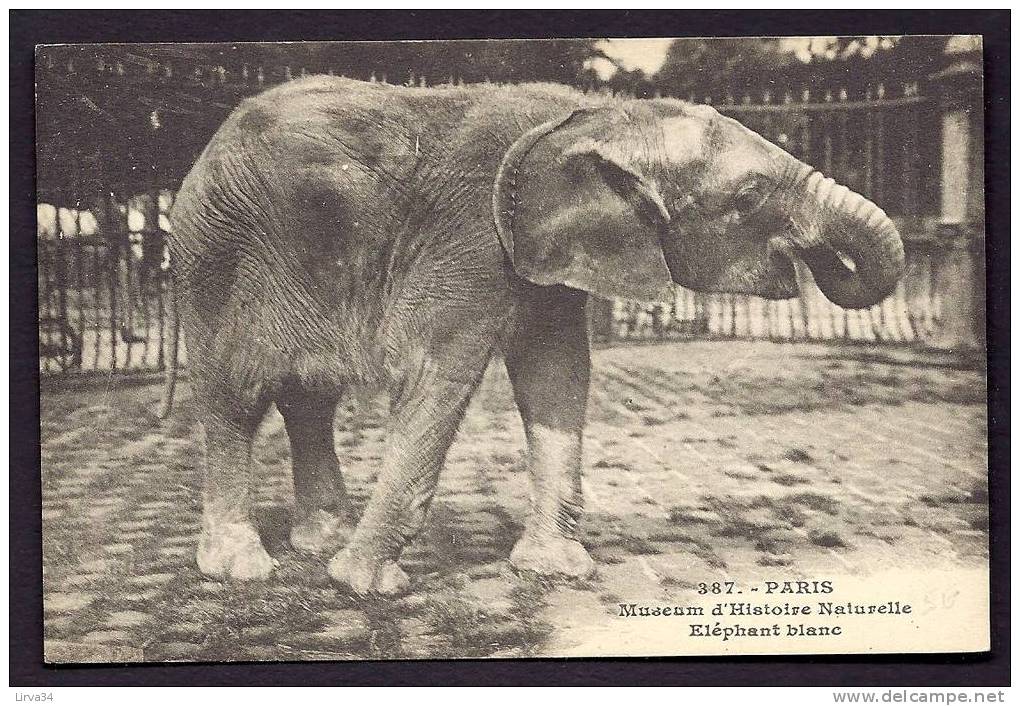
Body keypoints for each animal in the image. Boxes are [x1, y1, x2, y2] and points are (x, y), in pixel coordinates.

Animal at [163, 76, 905, 595]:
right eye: (748, 198)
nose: (817, 261)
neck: (596, 113)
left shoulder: (549, 249)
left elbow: (557, 373)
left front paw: (555, 570)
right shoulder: (470, 235)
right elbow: (437, 371)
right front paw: (363, 587)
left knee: (308, 395)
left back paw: (319, 541)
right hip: (217, 255)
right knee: (237, 393)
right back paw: (242, 568)